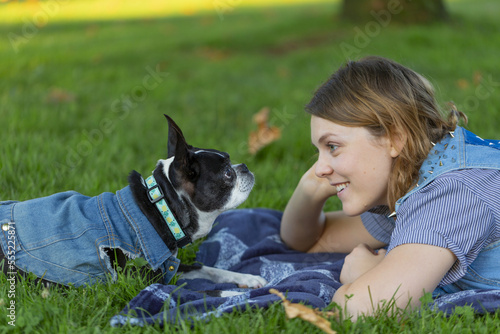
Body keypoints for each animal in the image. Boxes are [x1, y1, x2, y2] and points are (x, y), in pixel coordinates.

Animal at [0, 116, 268, 288]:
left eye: (231, 162)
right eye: (227, 174)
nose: (244, 167)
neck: (159, 209)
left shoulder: (167, 266)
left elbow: (203, 268)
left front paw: (248, 279)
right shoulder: (138, 278)